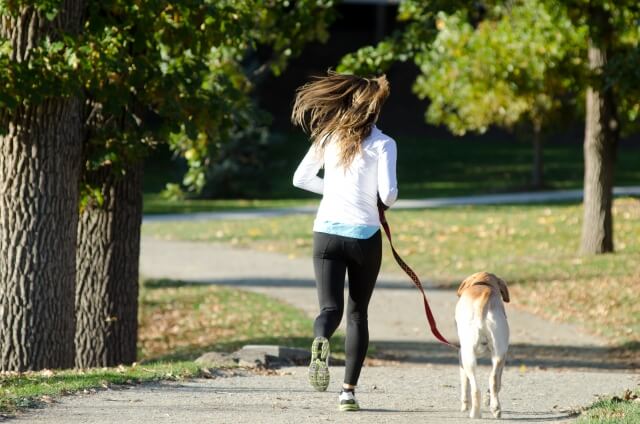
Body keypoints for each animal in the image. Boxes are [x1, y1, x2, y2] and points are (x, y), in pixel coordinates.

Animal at [456, 274, 510, 420]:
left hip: (468, 357)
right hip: (499, 355)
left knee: (475, 388)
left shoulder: (461, 357)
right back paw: (495, 408)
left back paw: (474, 413)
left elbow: (465, 383)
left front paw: (464, 405)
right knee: (494, 380)